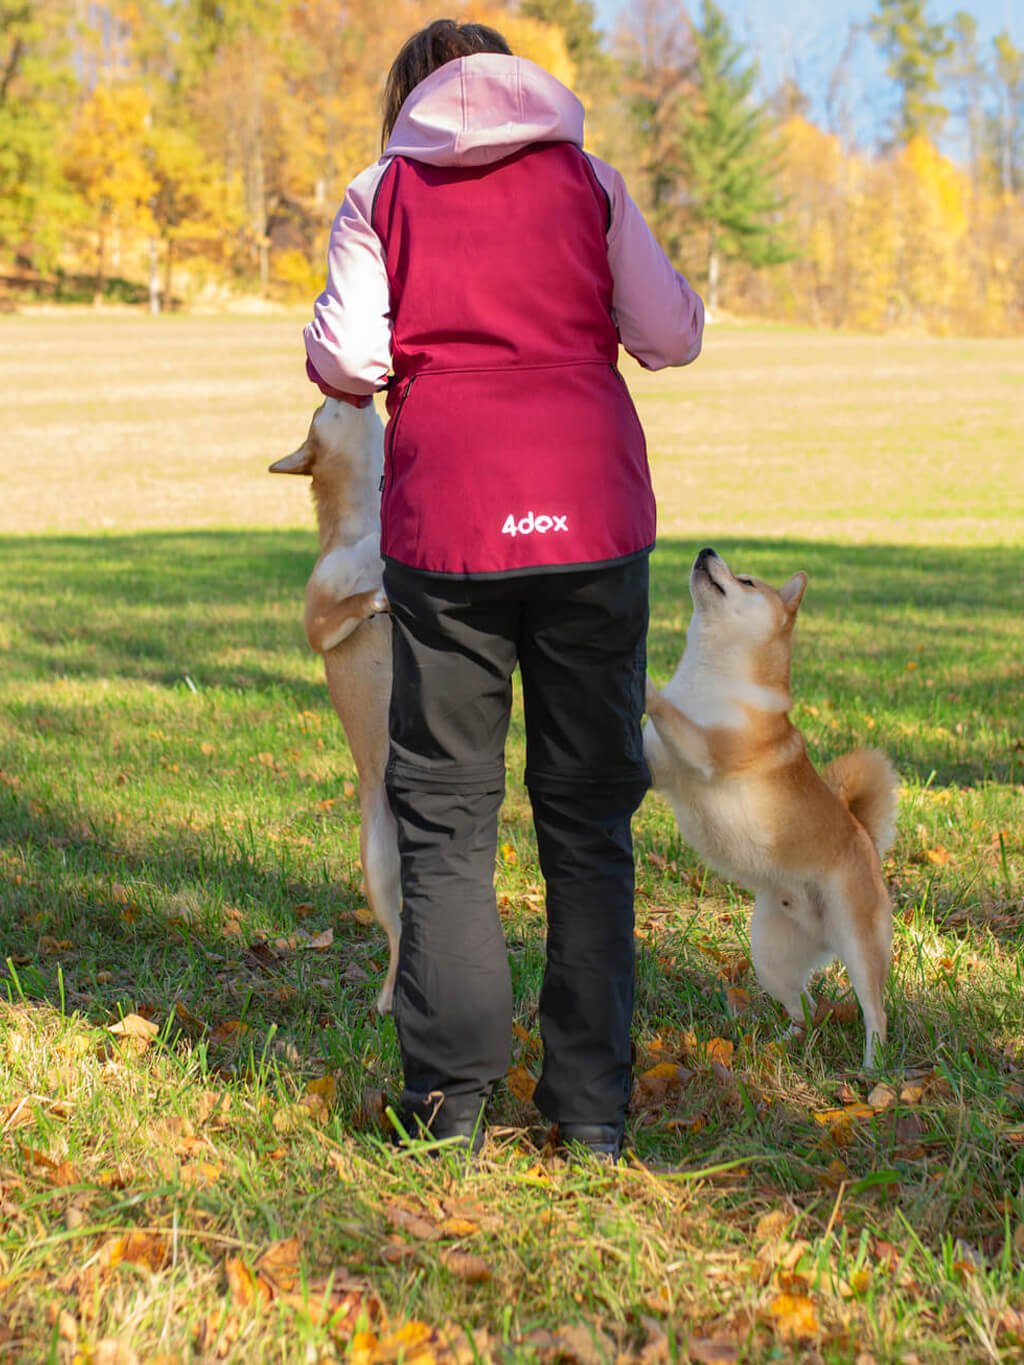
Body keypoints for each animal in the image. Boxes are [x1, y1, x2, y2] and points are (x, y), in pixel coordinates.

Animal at [644, 548, 901, 1070]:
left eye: (745, 580)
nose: (705, 551)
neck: (713, 676)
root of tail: (864, 836)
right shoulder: (660, 769)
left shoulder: (708, 751)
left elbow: (669, 711)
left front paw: (641, 681)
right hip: (771, 956)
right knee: (805, 1008)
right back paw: (779, 1045)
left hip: (859, 946)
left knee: (875, 1013)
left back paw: (871, 1067)